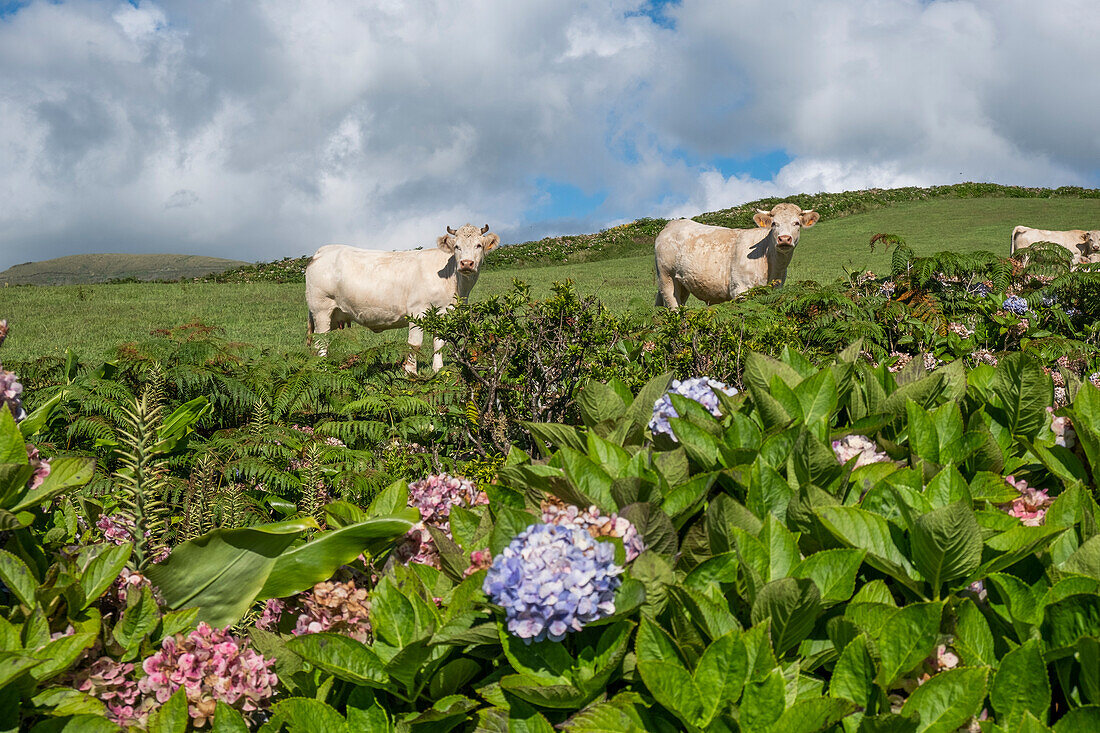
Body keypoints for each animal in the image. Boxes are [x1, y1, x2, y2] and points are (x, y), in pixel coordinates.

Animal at [301, 221, 499, 372]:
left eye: (478, 245)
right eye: (457, 246)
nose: (466, 263)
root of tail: (321, 251)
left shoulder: (443, 315)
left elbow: (439, 343)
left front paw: (438, 370)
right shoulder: (418, 311)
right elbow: (415, 344)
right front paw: (411, 372)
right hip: (321, 309)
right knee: (321, 343)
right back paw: (324, 371)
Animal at [651, 200, 818, 305]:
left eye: (796, 223)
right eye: (774, 224)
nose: (784, 239)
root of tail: (672, 224)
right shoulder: (740, 289)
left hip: (682, 284)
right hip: (666, 278)